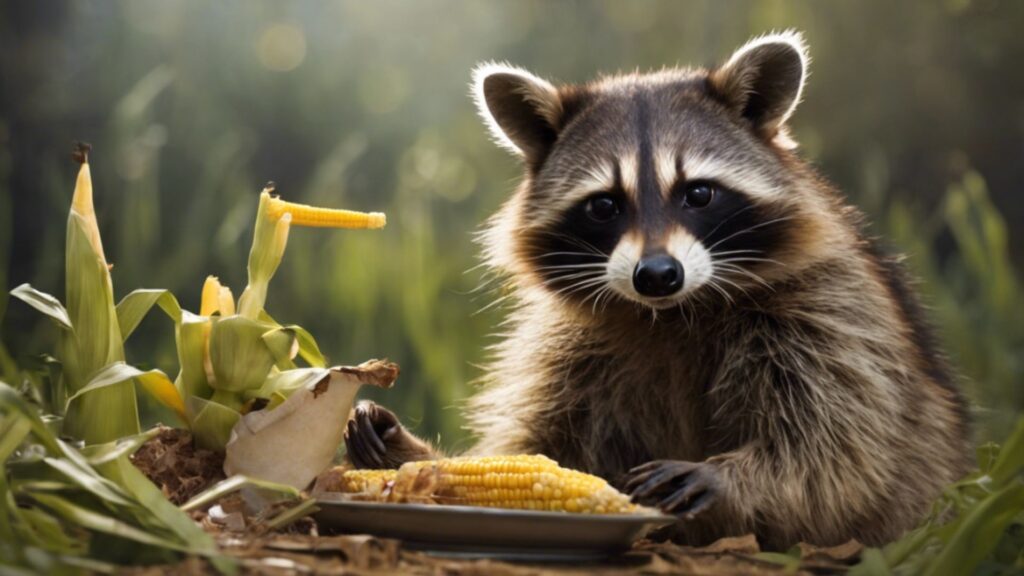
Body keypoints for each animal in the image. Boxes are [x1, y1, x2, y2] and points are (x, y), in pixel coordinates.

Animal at [344, 31, 972, 549]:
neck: (670, 312)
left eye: (698, 193)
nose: (657, 274)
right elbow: (545, 444)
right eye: (603, 204)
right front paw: (415, 459)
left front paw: (733, 476)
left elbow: (837, 446)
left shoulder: (829, 313)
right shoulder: (572, 348)